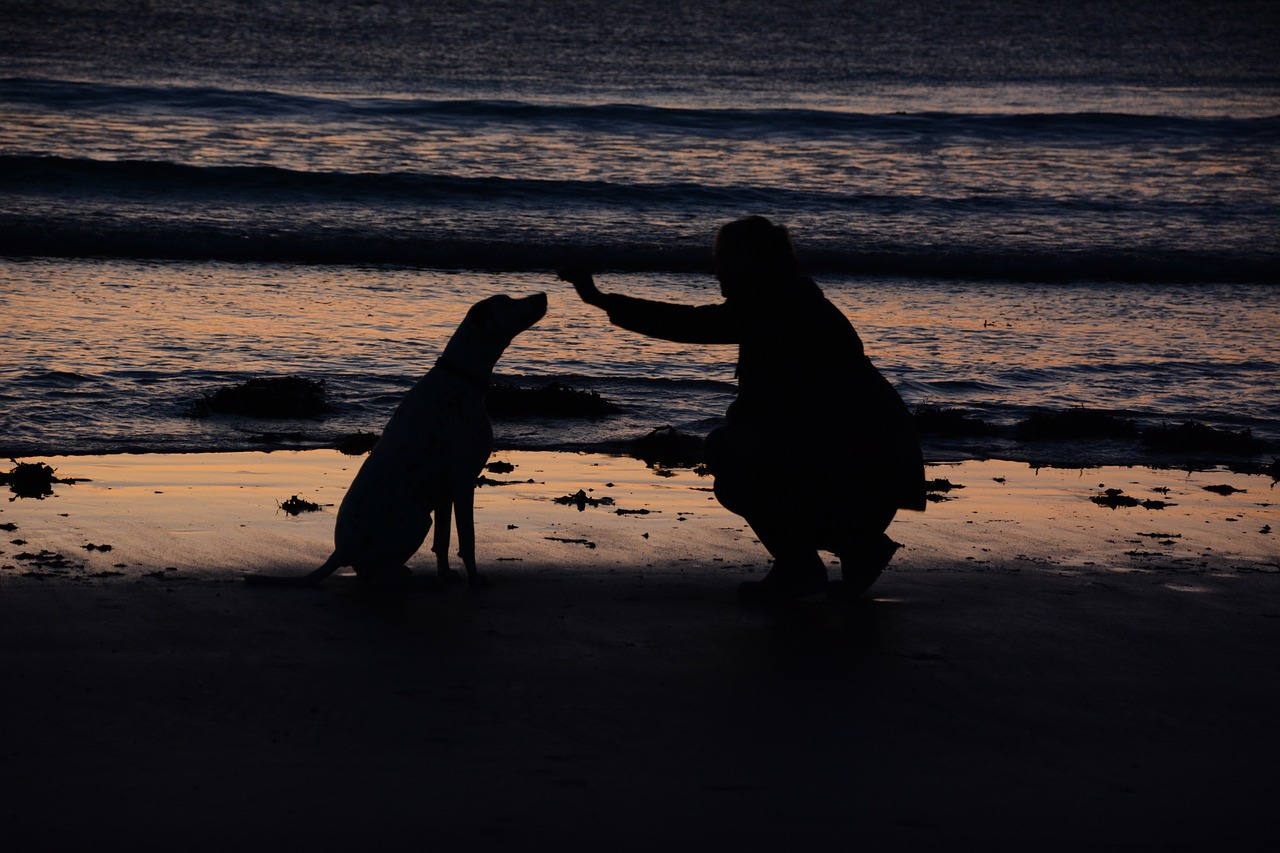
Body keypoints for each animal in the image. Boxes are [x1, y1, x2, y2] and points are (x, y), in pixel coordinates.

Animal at [243, 292, 545, 584]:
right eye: (506, 301)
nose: (543, 295)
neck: (461, 378)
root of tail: (341, 552)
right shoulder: (462, 482)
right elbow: (467, 540)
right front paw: (475, 578)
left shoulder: (445, 493)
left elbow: (444, 540)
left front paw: (446, 574)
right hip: (418, 520)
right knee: (372, 574)